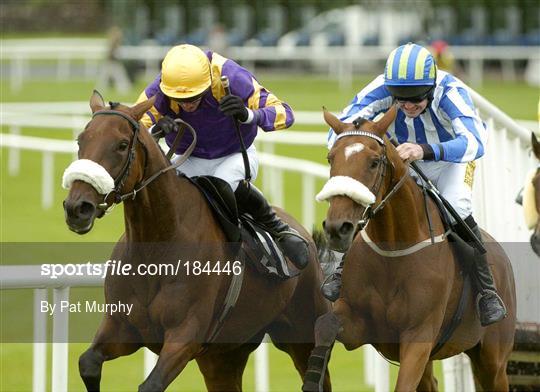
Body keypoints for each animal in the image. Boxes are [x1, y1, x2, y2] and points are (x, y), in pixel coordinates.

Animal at [64, 90, 334, 390]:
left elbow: (151, 384)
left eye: (122, 145)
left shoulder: (185, 336)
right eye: (81, 140)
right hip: (223, 355)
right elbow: (87, 363)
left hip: (304, 335)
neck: (157, 247)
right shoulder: (122, 328)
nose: (77, 208)